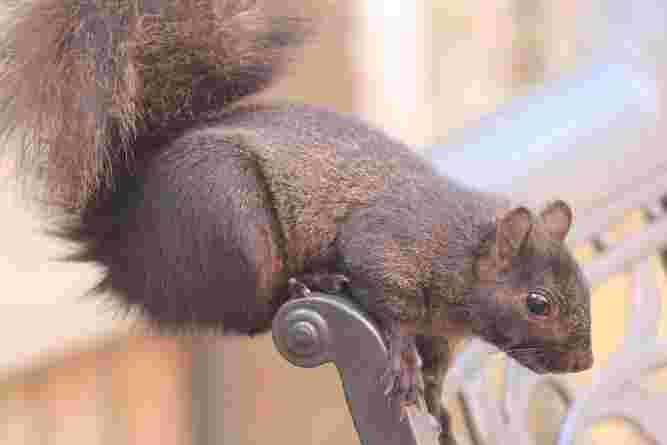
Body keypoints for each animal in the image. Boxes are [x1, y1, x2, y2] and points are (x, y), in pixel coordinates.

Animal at [0, 0, 592, 443]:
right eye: (537, 304)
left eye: (583, 285)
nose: (583, 362)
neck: (459, 247)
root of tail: (132, 248)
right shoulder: (386, 244)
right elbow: (390, 307)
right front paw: (401, 359)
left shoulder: (443, 330)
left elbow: (439, 364)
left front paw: (434, 400)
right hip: (235, 225)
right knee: (250, 315)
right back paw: (315, 281)